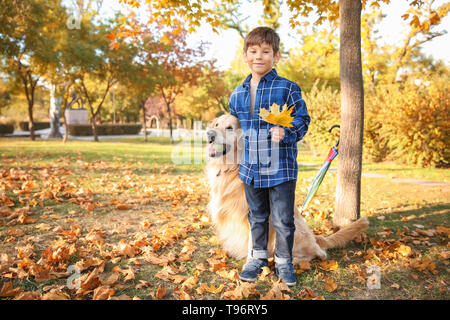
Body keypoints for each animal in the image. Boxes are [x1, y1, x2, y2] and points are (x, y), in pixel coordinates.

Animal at [206, 114, 368, 264]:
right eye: (217, 124)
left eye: (230, 128)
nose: (209, 134)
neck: (231, 168)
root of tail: (316, 237)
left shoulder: (252, 214)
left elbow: (253, 243)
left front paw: (250, 263)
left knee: (318, 254)